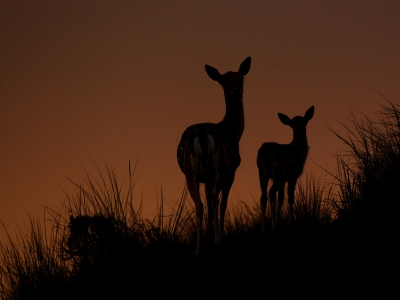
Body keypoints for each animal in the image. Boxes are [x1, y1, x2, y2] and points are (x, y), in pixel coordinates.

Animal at [177, 56, 250, 258]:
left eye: (240, 78)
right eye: (223, 81)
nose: (235, 90)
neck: (234, 131)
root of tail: (202, 135)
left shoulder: (206, 178)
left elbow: (209, 205)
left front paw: (208, 238)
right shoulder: (232, 170)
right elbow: (223, 203)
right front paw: (217, 238)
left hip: (191, 173)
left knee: (201, 204)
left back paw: (198, 250)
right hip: (220, 167)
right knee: (217, 199)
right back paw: (217, 242)